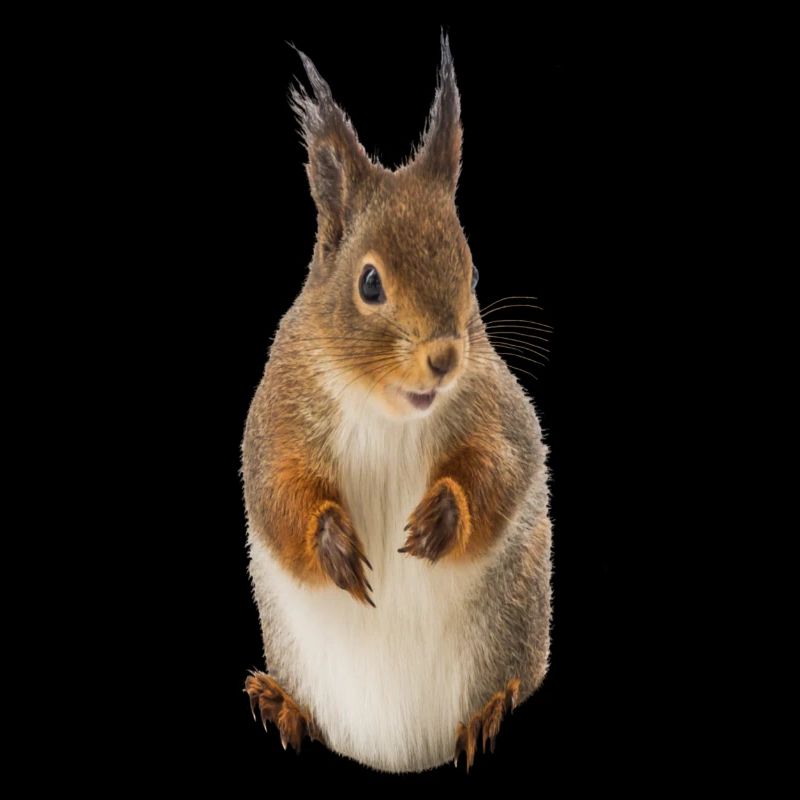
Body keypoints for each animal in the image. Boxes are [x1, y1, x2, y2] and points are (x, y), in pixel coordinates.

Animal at [243, 34, 552, 773]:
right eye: (369, 283)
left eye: (472, 271)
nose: (444, 357)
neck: (385, 407)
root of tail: (397, 754)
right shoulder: (277, 414)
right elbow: (277, 491)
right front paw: (332, 544)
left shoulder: (498, 411)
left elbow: (502, 469)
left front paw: (442, 517)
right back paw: (281, 703)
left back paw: (491, 711)